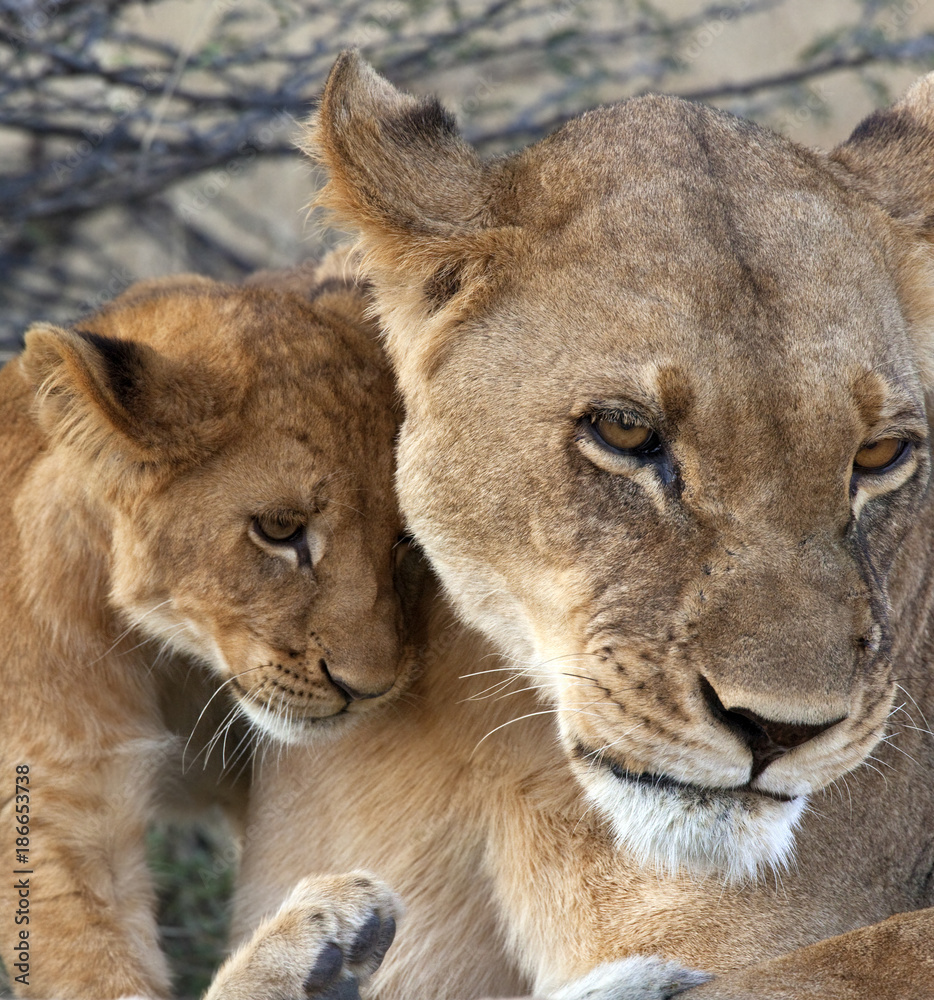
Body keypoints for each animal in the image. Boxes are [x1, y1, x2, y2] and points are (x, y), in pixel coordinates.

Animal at [0, 261, 413, 999]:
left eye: (402, 535)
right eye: (278, 529)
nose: (368, 690)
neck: (169, 661)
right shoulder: (55, 810)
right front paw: (309, 957)